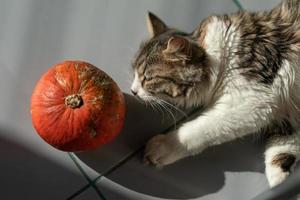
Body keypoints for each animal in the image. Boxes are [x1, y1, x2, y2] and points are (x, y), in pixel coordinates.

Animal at [131, 0, 300, 188]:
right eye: (135, 72)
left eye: (148, 78)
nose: (133, 91)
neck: (221, 58)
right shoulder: (286, 113)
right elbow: (283, 147)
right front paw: (280, 179)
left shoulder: (255, 101)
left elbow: (199, 129)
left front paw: (163, 146)